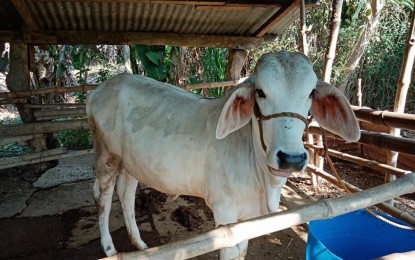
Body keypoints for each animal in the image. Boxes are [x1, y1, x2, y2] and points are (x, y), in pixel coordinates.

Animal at [86, 51, 360, 260]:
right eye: (261, 92)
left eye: (311, 93)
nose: (291, 159)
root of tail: (99, 90)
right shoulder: (225, 215)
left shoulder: (249, 218)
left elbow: (242, 252)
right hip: (106, 156)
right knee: (102, 197)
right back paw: (109, 248)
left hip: (132, 163)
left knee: (126, 194)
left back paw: (139, 243)